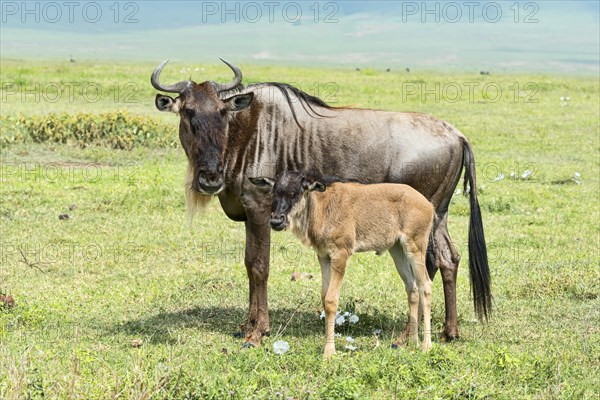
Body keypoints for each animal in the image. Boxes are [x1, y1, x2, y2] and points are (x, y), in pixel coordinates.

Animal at [251, 170, 434, 358]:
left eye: (295, 193)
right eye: (274, 192)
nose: (276, 221)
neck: (322, 208)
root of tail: (428, 204)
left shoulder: (341, 254)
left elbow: (331, 300)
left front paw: (329, 352)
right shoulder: (323, 256)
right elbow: (324, 297)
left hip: (415, 247)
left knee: (425, 285)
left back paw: (426, 345)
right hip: (397, 250)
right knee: (412, 288)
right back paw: (413, 343)